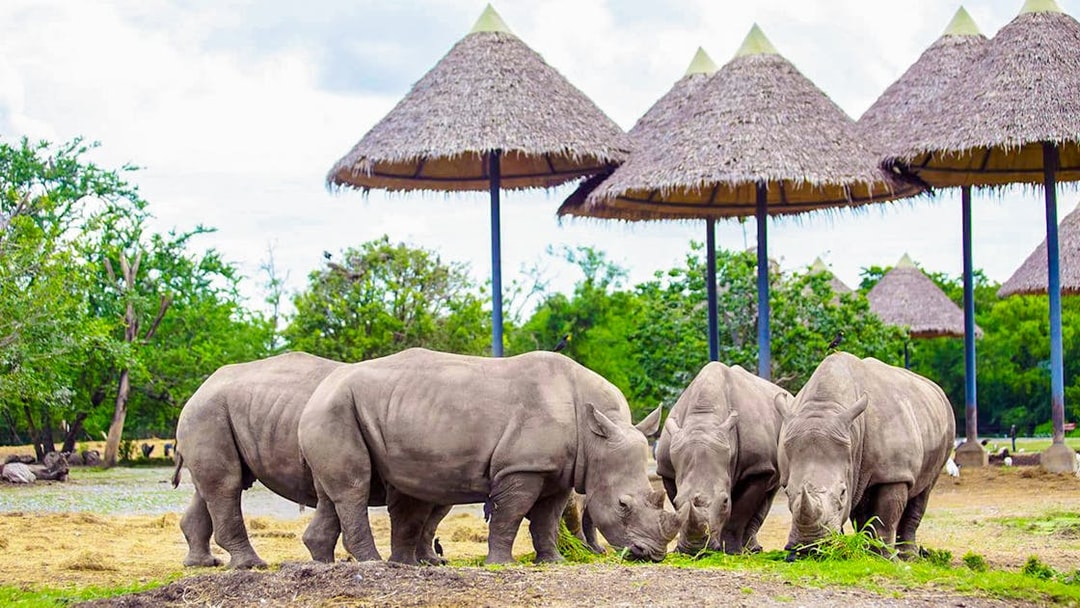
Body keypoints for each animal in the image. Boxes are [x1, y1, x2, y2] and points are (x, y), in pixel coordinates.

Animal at [172, 352, 448, 569]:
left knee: (215, 487)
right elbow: (421, 515)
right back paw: (251, 565)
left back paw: (203, 563)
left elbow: (432, 518)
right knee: (227, 485)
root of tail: (200, 388)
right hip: (208, 413)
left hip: (215, 413)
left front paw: (432, 561)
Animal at [298, 348, 683, 565]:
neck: (595, 438)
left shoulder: (559, 471)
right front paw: (501, 564)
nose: (652, 555)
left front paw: (553, 561)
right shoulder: (522, 467)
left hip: (337, 411)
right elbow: (510, 516)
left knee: (333, 492)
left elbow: (546, 518)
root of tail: (320, 389)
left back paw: (326, 565)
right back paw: (373, 565)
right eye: (622, 506)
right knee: (355, 487)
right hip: (335, 408)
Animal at [655, 362, 792, 554]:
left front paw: (731, 551)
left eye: (725, 501)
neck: (703, 420)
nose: (695, 549)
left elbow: (740, 512)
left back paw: (753, 550)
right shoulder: (666, 469)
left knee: (768, 495)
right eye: (676, 501)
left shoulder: (757, 467)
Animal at [778, 352, 954, 559]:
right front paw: (852, 550)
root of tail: (936, 388)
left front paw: (883, 558)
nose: (809, 547)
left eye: (842, 492)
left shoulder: (895, 473)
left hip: (946, 425)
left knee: (924, 489)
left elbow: (886, 517)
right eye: (787, 492)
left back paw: (908, 556)